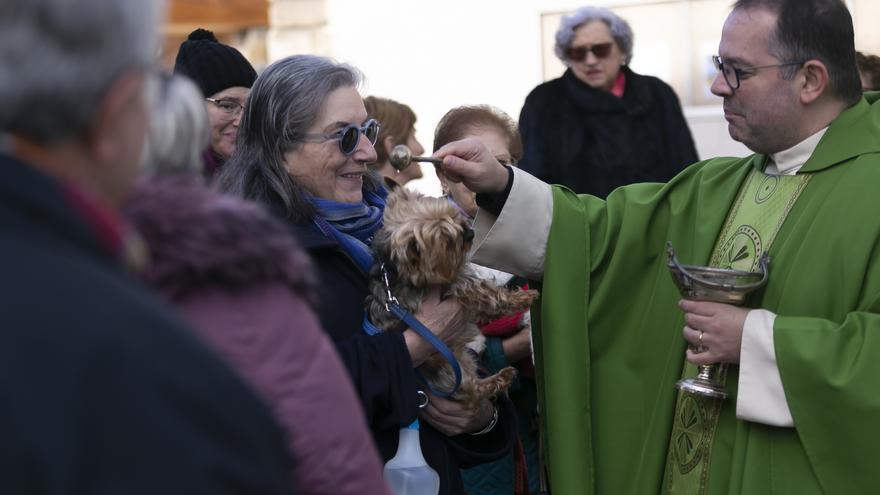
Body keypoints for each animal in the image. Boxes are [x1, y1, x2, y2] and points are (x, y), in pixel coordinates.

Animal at [364, 188, 536, 408]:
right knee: (473, 391)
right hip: (446, 366)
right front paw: (523, 298)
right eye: (445, 238)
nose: (470, 233)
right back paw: (498, 379)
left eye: (453, 215)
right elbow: (487, 293)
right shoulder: (459, 288)